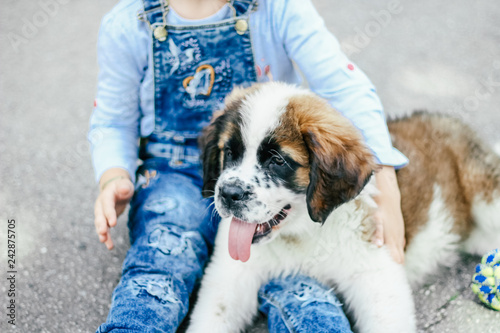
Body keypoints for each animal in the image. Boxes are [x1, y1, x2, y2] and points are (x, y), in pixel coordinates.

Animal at [187, 81, 500, 330]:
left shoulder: (377, 274)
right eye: (229, 152)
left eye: (277, 160)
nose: (228, 193)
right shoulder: (231, 276)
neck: (302, 234)